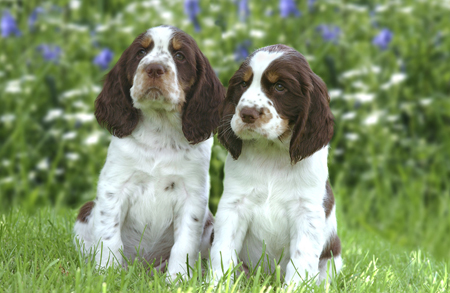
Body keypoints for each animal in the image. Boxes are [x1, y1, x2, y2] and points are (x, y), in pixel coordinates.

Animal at [74, 24, 227, 278]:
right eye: (141, 53)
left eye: (180, 56)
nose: (154, 68)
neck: (160, 131)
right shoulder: (114, 187)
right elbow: (109, 236)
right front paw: (107, 274)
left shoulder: (192, 195)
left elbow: (184, 244)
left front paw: (177, 279)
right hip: (85, 213)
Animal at [210, 45, 342, 286]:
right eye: (243, 84)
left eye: (280, 87)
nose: (247, 114)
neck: (271, 153)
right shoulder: (233, 205)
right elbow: (223, 251)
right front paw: (215, 286)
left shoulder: (306, 212)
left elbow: (301, 258)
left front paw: (293, 288)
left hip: (332, 258)